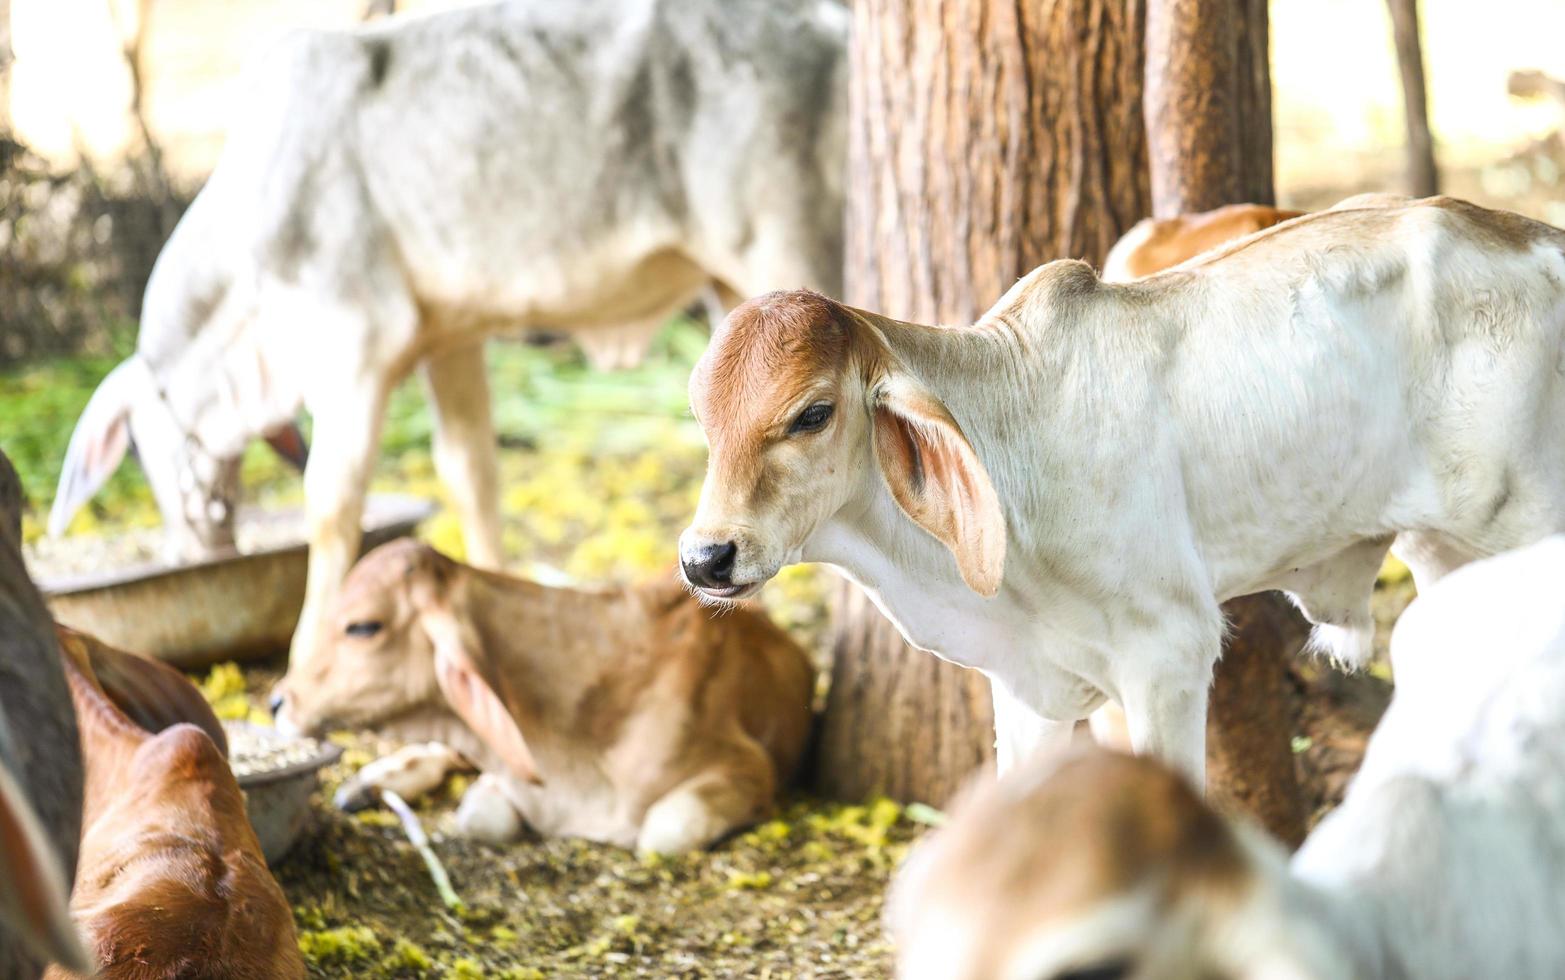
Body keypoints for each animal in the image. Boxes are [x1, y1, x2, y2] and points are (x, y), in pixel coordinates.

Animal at [48, 0, 851, 663]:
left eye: (139, 450)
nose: (193, 544)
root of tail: (828, 23)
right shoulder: (450, 340)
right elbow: (472, 474)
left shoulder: (354, 348)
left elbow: (332, 504)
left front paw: (307, 653)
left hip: (790, 247)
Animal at [277, 538, 820, 851]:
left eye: (363, 626)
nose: (279, 701)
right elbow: (479, 816)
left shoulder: (749, 768)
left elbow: (661, 834)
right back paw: (369, 782)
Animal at [679, 194, 1565, 782]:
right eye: (701, 414)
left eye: (813, 413)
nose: (704, 557)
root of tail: (1540, 237)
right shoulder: (1027, 692)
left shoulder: (1169, 656)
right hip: (1442, 555)